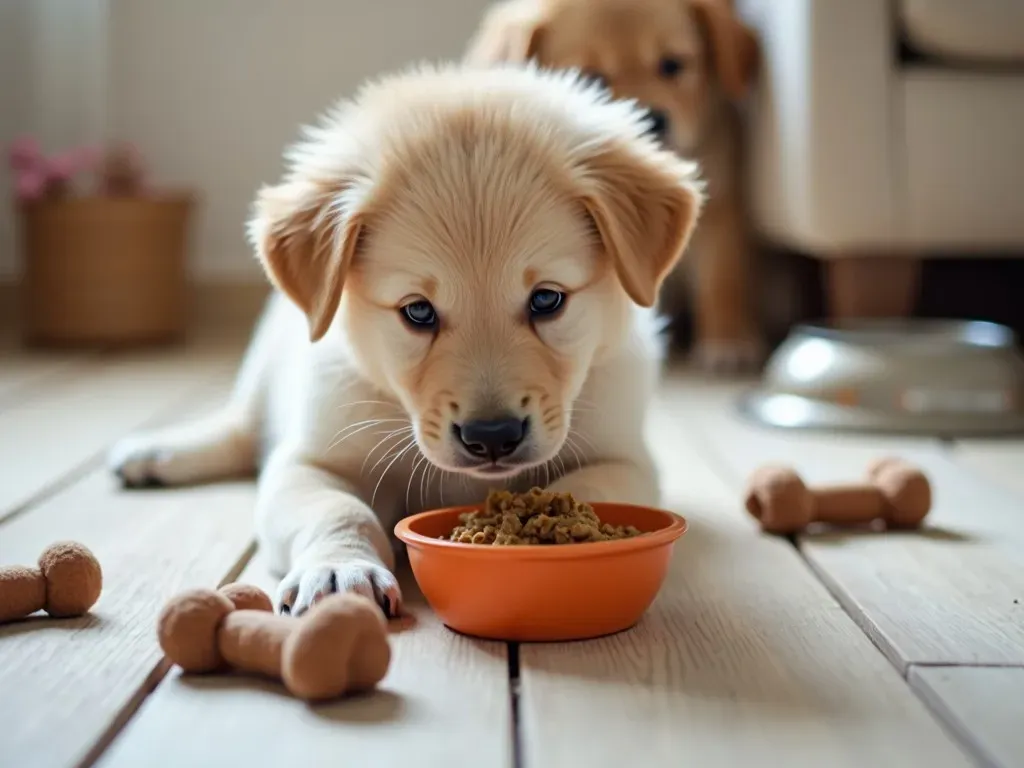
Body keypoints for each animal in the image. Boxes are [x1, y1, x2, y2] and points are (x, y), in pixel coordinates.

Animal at [110, 64, 704, 618]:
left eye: (546, 300)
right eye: (417, 311)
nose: (492, 437)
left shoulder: (626, 457)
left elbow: (586, 488)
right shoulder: (310, 458)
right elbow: (339, 509)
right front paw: (338, 568)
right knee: (240, 427)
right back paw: (156, 452)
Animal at [464, 0, 761, 372]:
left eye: (672, 64)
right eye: (592, 80)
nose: (653, 119)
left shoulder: (721, 211)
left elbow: (722, 281)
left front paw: (727, 339)